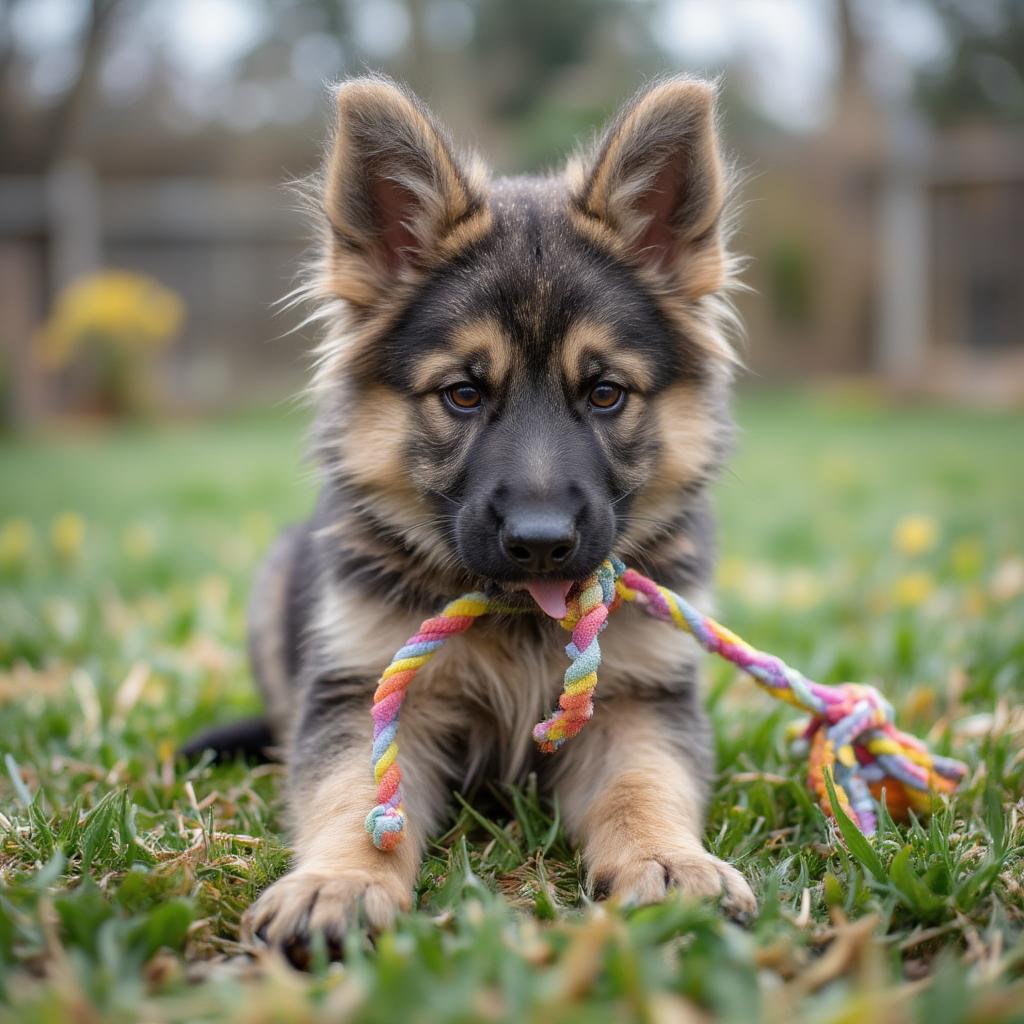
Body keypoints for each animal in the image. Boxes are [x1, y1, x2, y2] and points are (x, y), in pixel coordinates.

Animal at [237, 75, 753, 946]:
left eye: (605, 393)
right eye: (464, 394)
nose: (541, 543)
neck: (518, 622)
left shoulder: (639, 701)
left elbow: (644, 785)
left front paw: (668, 860)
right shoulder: (364, 692)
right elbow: (355, 798)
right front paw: (339, 882)